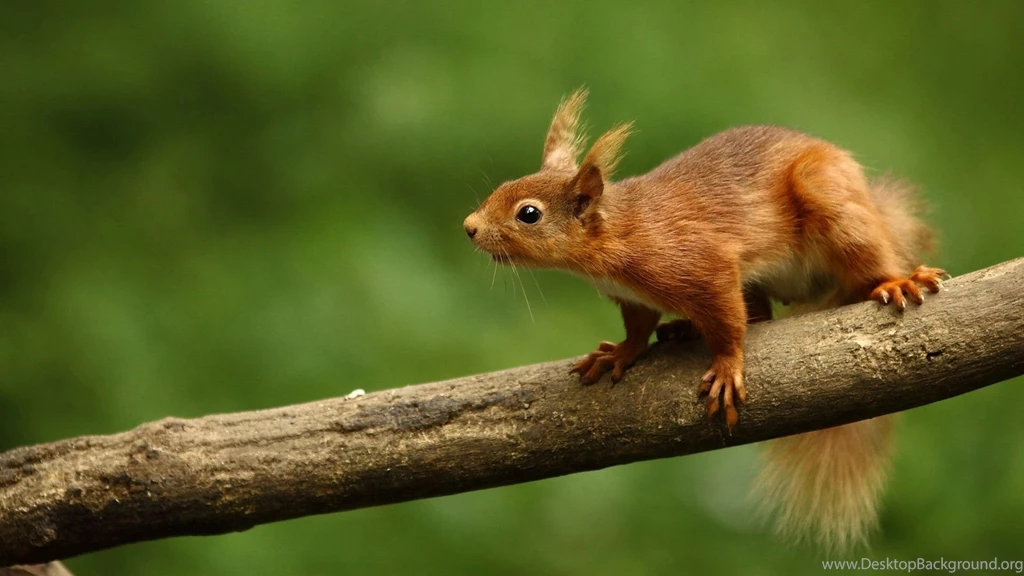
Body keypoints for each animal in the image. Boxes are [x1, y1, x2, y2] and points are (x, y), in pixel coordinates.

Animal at [462, 88, 946, 552]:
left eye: (529, 213)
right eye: (504, 186)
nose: (468, 226)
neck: (618, 234)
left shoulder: (703, 266)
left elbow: (728, 323)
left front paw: (728, 368)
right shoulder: (632, 297)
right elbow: (638, 328)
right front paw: (620, 354)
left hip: (830, 200)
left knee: (864, 260)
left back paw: (897, 280)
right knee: (761, 313)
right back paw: (683, 328)